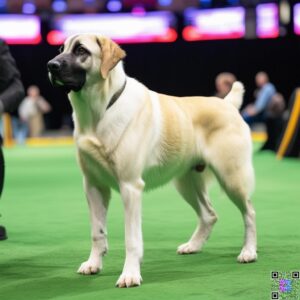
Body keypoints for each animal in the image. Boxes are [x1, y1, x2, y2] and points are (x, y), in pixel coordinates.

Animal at [48, 33, 256, 288]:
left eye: (81, 50)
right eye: (61, 49)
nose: (50, 66)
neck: (100, 111)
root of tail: (227, 103)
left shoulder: (130, 187)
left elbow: (131, 239)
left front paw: (130, 274)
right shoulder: (94, 186)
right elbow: (97, 232)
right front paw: (93, 264)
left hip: (231, 177)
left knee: (249, 213)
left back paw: (248, 252)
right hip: (186, 183)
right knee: (209, 215)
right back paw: (193, 246)